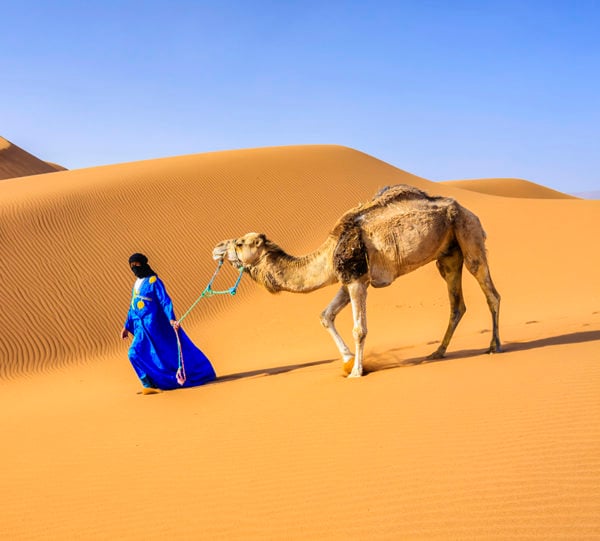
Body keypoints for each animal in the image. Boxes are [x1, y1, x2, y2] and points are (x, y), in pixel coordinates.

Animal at [212, 184, 502, 378]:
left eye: (240, 243)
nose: (216, 248)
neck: (329, 253)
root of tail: (469, 211)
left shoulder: (356, 280)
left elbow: (359, 329)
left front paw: (356, 371)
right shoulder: (347, 280)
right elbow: (325, 315)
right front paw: (348, 359)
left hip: (469, 233)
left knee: (490, 291)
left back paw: (494, 346)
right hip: (448, 256)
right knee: (457, 304)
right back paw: (438, 352)